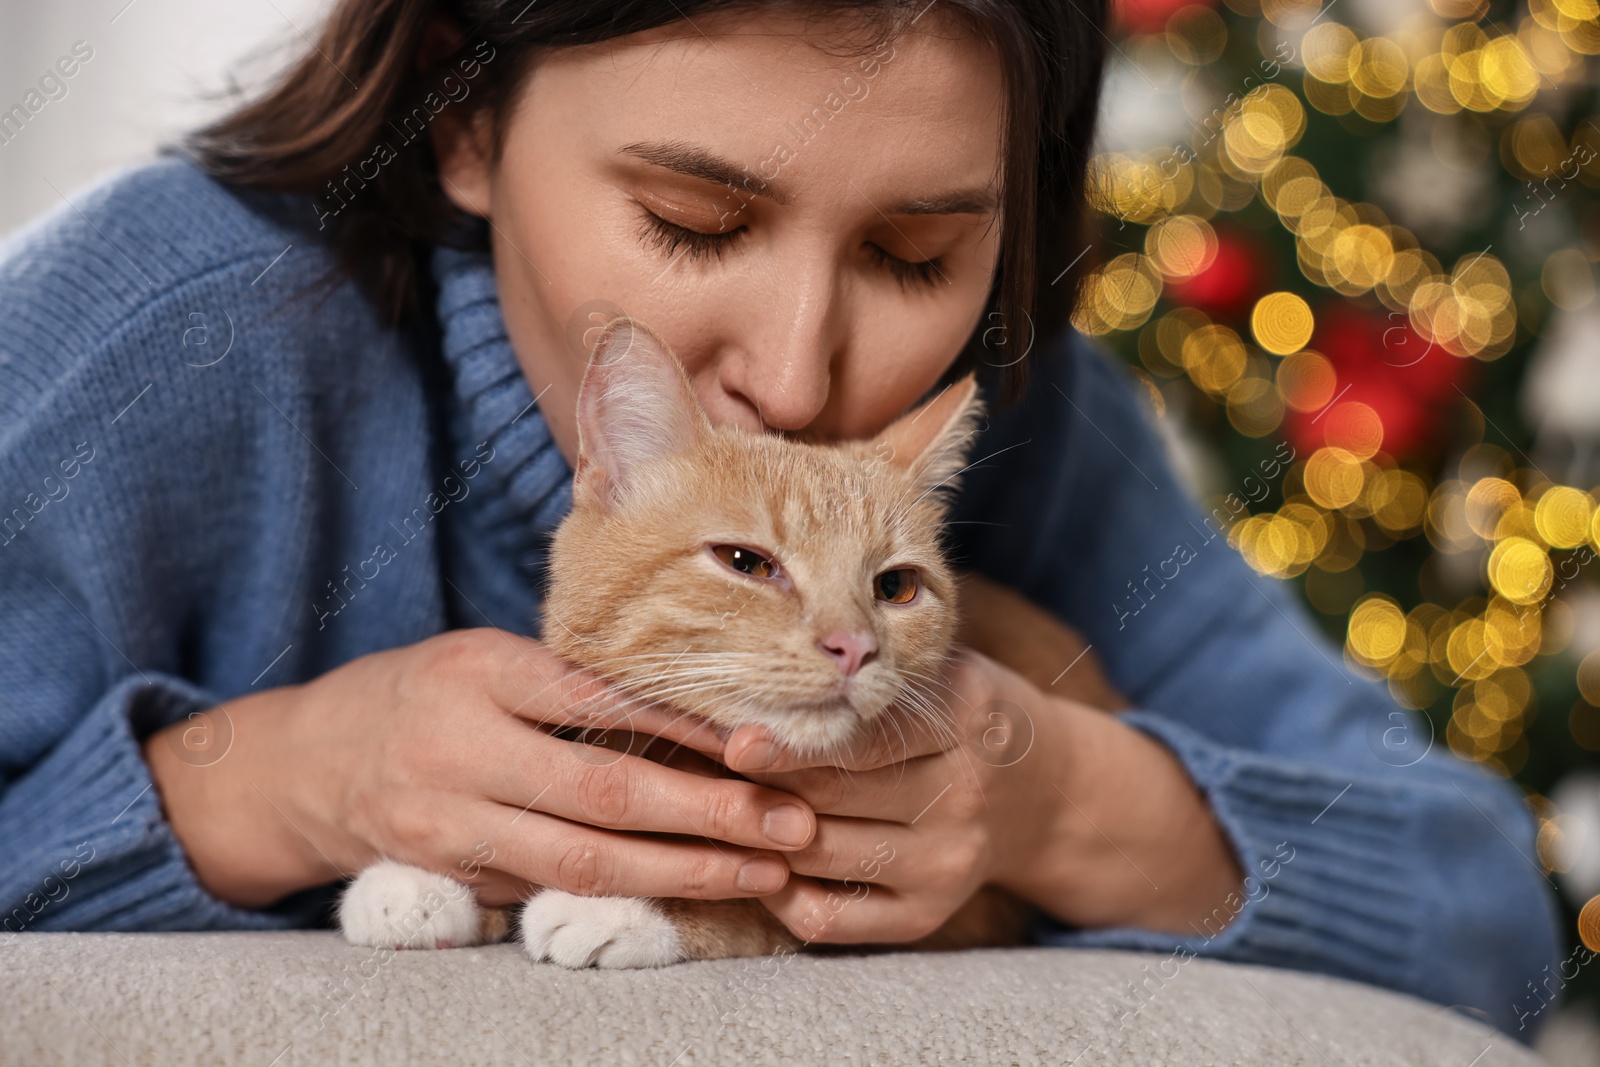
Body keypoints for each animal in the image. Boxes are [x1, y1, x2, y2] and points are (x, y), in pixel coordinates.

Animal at [334, 316, 1088, 966]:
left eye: (896, 587)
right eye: (746, 563)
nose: (853, 646)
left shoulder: (970, 910)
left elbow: (755, 901)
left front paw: (625, 908)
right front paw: (428, 884)